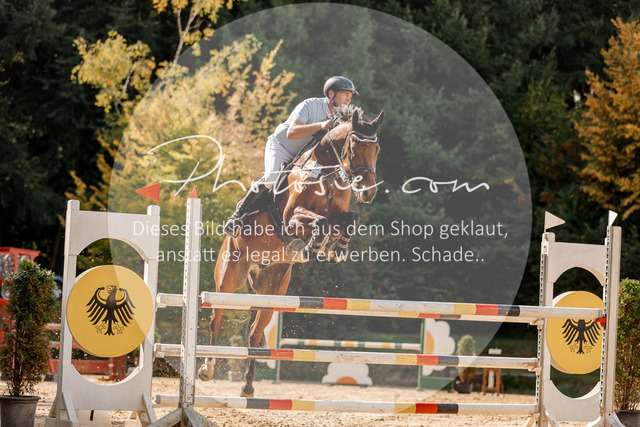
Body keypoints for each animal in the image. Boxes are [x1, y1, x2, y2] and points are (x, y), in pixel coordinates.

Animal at [199, 105, 384, 397]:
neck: (327, 175)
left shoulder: (337, 217)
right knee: (216, 318)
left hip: (273, 288)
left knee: (254, 333)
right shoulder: (290, 219)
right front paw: (309, 247)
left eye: (377, 149)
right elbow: (318, 223)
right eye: (354, 146)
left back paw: (248, 386)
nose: (367, 192)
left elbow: (348, 219)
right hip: (228, 277)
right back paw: (206, 368)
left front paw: (334, 249)